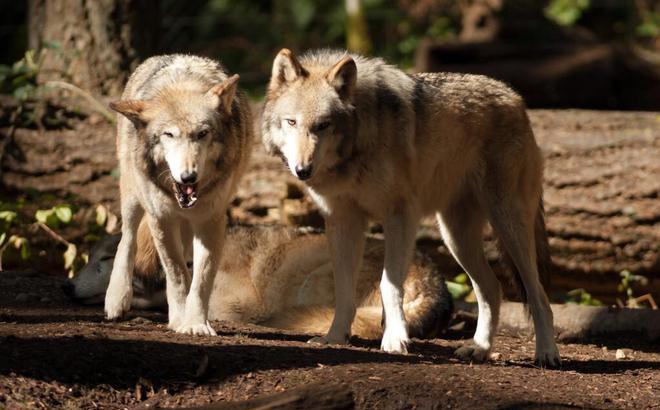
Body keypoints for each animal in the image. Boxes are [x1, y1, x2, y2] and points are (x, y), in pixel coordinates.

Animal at [63, 221, 454, 340]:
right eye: (87, 258)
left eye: (105, 260)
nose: (66, 287)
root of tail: (438, 284)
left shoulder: (238, 304)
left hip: (316, 279)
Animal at [105, 53, 253, 336]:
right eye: (169, 135)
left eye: (202, 134)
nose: (188, 177)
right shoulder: (161, 219)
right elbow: (176, 273)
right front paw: (181, 318)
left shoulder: (210, 221)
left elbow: (201, 279)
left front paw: (195, 323)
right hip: (133, 196)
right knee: (127, 239)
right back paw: (117, 299)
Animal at [262, 48, 564, 366]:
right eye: (291, 122)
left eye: (323, 125)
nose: (302, 170)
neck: (358, 145)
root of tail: (515, 98)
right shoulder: (343, 222)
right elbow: (343, 290)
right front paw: (334, 337)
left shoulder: (400, 216)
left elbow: (389, 284)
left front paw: (395, 339)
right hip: (456, 238)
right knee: (492, 289)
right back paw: (479, 349)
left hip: (508, 226)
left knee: (538, 295)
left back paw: (546, 353)